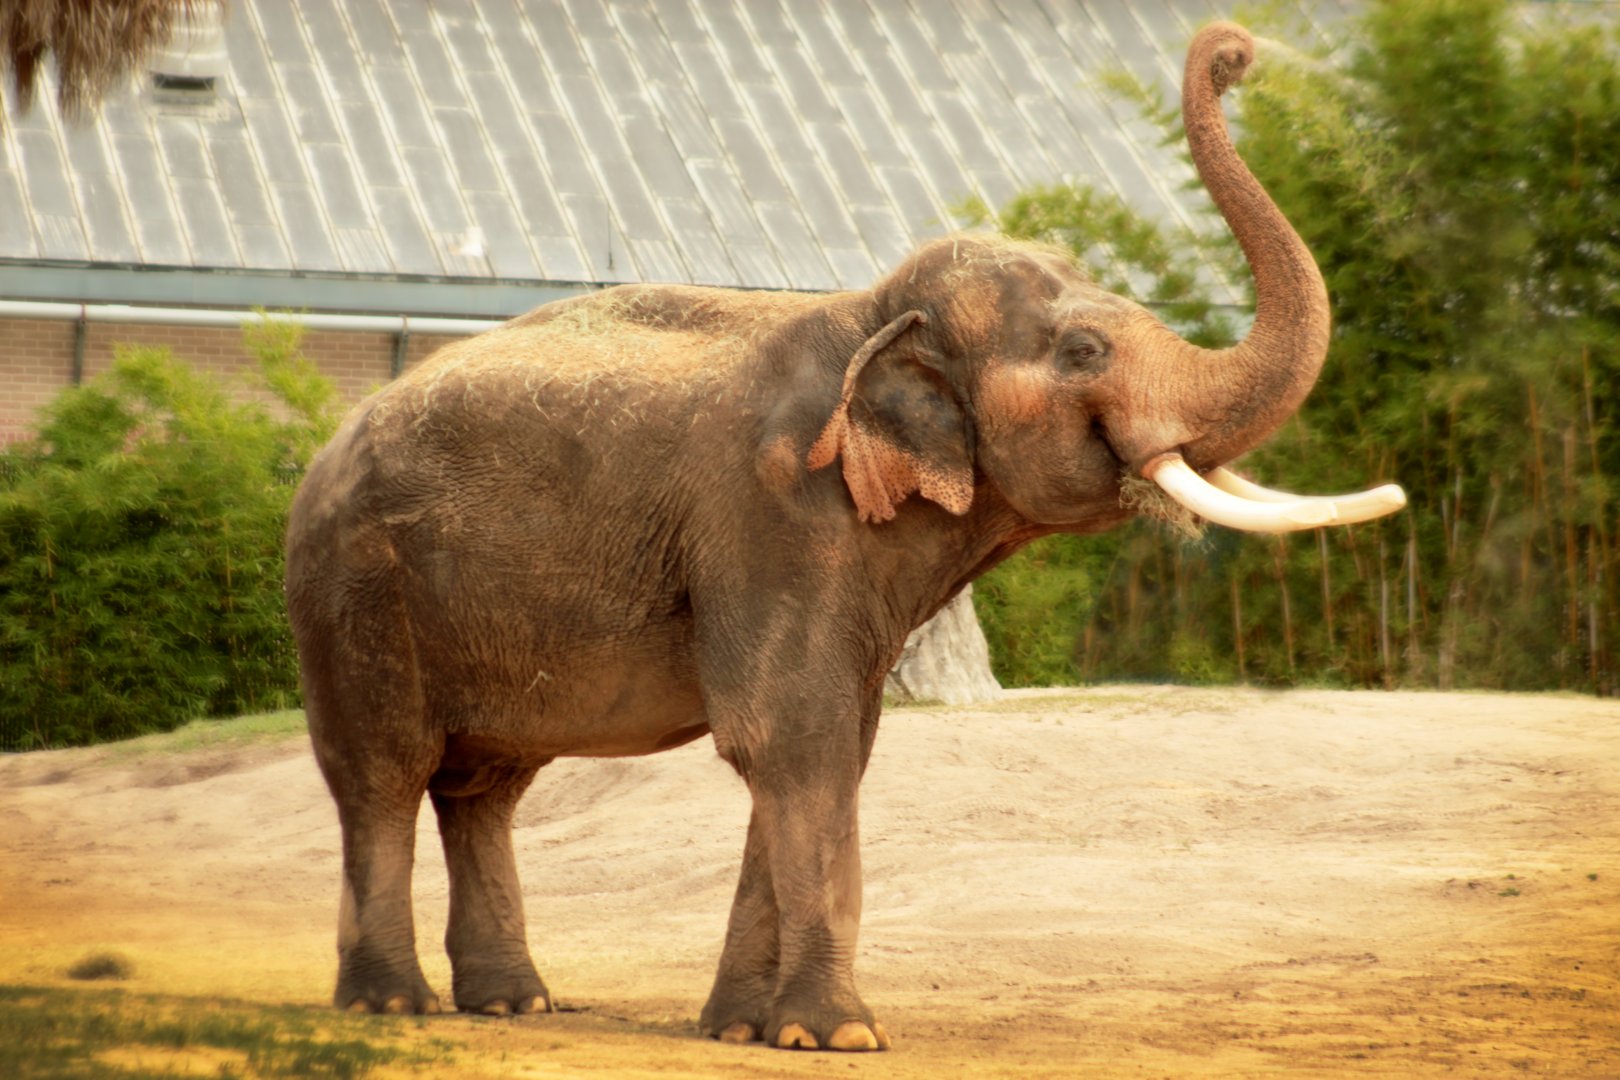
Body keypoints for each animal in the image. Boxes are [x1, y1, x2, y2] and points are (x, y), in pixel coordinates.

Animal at [284, 22, 1403, 1053]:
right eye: (1085, 351)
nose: (1235, 51)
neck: (868, 309)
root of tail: (321, 454)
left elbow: (833, 744)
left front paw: (746, 1031)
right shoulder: (770, 514)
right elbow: (793, 735)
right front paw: (841, 1037)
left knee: (485, 786)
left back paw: (514, 1004)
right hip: (355, 588)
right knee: (385, 771)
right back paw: (391, 1005)